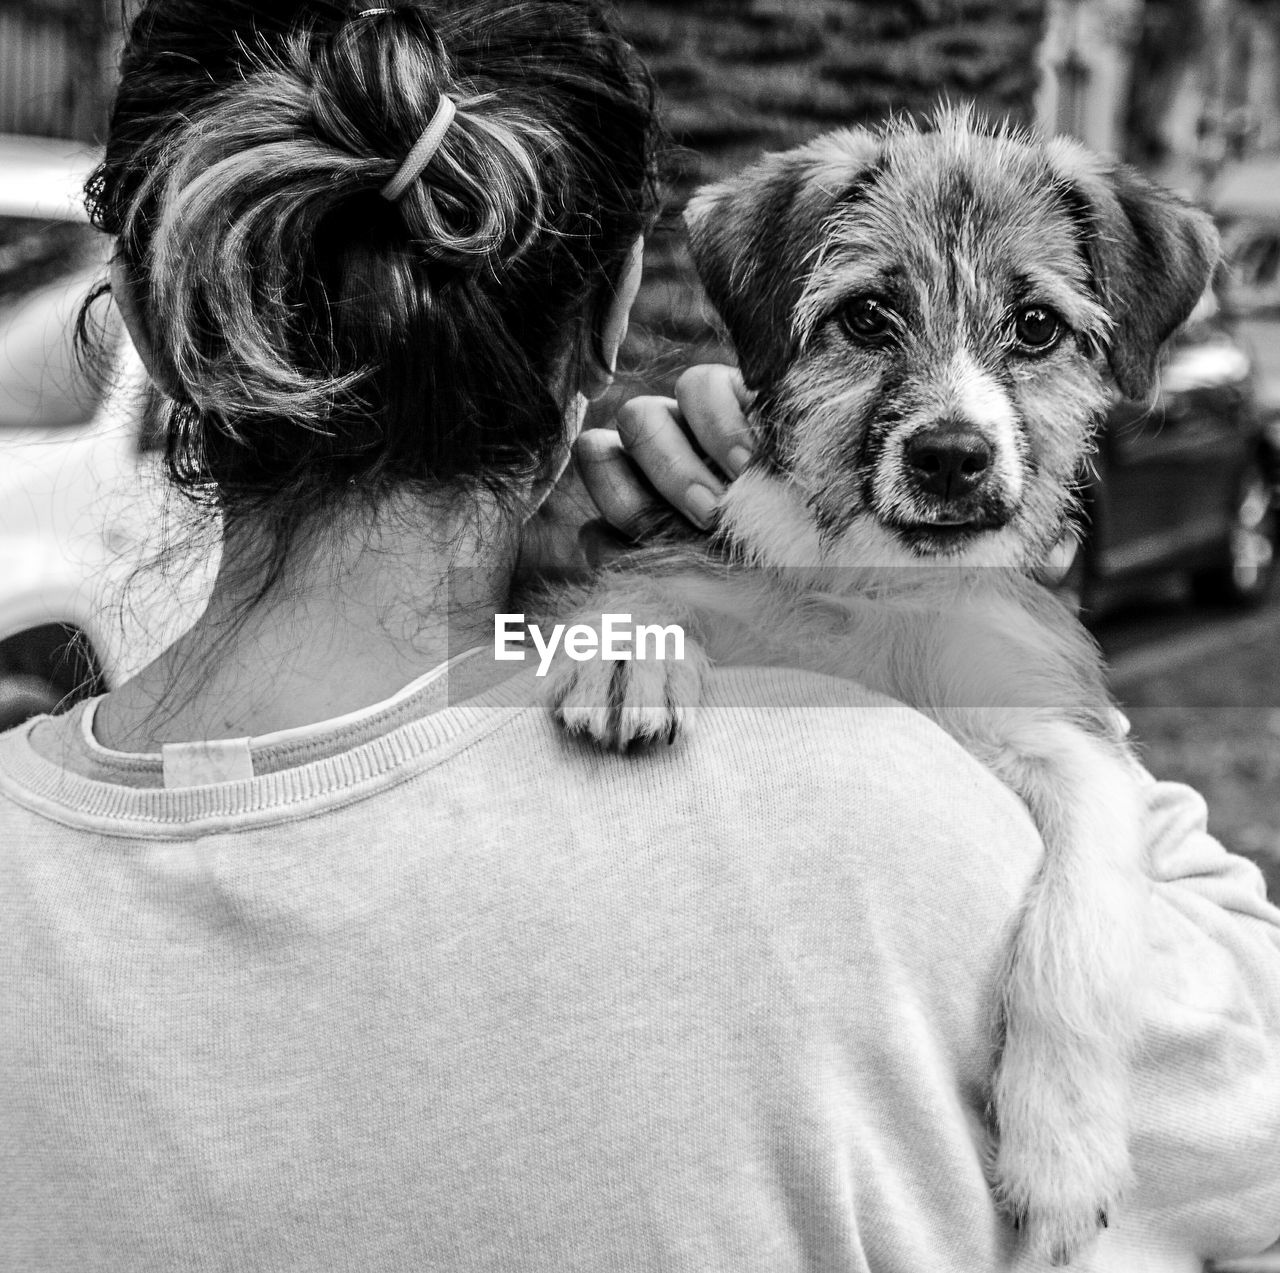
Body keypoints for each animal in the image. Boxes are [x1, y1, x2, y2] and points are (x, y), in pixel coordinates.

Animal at [535, 109, 1213, 1264]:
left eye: (1036, 326)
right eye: (865, 316)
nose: (949, 455)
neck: (885, 583)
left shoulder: (1067, 736)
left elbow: (1073, 933)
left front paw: (1061, 1154)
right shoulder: (710, 554)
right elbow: (652, 576)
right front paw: (629, 649)